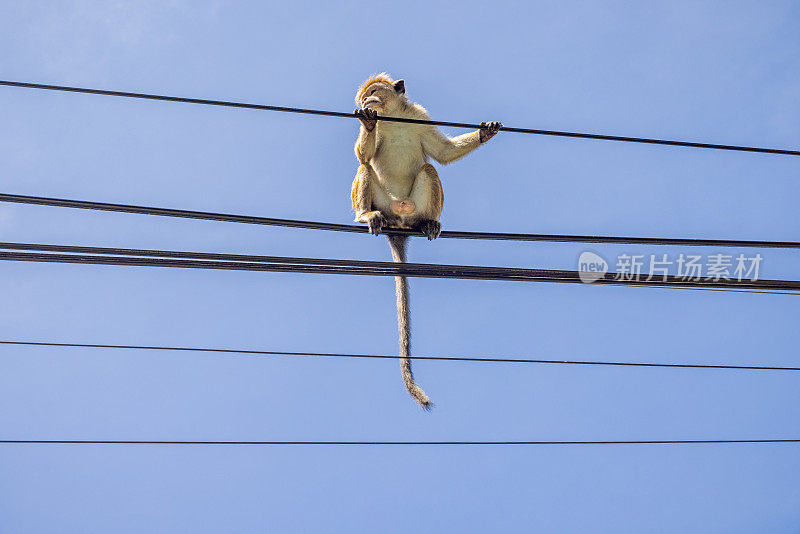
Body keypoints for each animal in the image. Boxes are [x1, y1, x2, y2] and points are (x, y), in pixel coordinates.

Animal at [350, 74, 500, 410]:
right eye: (363, 99)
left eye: (373, 92)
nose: (367, 102)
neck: (394, 117)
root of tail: (398, 224)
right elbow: (363, 156)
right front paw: (369, 124)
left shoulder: (420, 115)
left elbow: (442, 153)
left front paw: (485, 133)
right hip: (384, 203)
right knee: (365, 167)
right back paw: (366, 215)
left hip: (415, 206)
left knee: (429, 168)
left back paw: (427, 222)